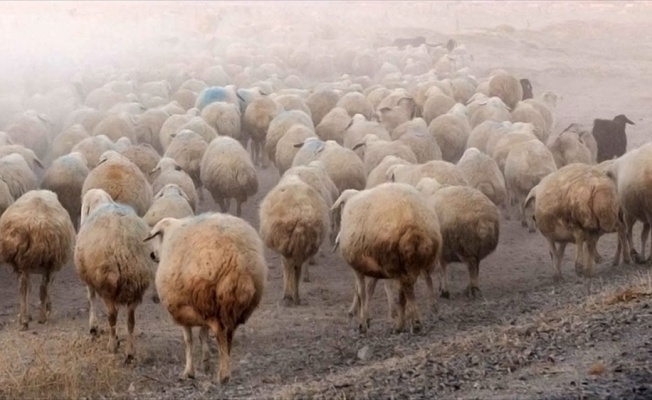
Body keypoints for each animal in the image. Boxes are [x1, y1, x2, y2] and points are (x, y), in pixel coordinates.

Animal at [0, 191, 76, 332]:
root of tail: (34, 223)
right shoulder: (53, 267)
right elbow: (48, 287)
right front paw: (48, 307)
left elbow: (30, 288)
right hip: (47, 262)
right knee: (42, 288)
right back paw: (41, 317)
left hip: (23, 262)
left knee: (23, 287)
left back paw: (24, 320)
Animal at [75, 189, 157, 360]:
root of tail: (122, 247)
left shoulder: (92, 279)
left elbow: (91, 299)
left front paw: (94, 328)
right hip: (135, 287)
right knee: (131, 321)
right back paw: (130, 352)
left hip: (109, 286)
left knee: (112, 316)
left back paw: (112, 345)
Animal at [145, 214, 268, 382]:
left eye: (157, 236)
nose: (152, 255)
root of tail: (234, 258)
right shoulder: (201, 311)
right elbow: (203, 336)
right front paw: (206, 364)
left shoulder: (183, 308)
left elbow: (188, 341)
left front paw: (189, 372)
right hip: (228, 305)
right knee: (228, 335)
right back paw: (225, 366)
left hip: (208, 298)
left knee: (220, 333)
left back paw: (223, 375)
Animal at [258, 173, 326, 304]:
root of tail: (299, 211)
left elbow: (286, 267)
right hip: (303, 245)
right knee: (297, 268)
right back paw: (296, 296)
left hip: (287, 243)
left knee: (289, 266)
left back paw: (288, 295)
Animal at [334, 183, 440, 332]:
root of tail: (411, 218)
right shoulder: (374, 268)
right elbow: (369, 290)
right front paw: (366, 319)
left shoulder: (358, 268)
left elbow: (362, 292)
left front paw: (362, 324)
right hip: (411, 261)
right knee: (405, 291)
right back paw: (404, 323)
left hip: (392, 258)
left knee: (406, 288)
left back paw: (412, 323)